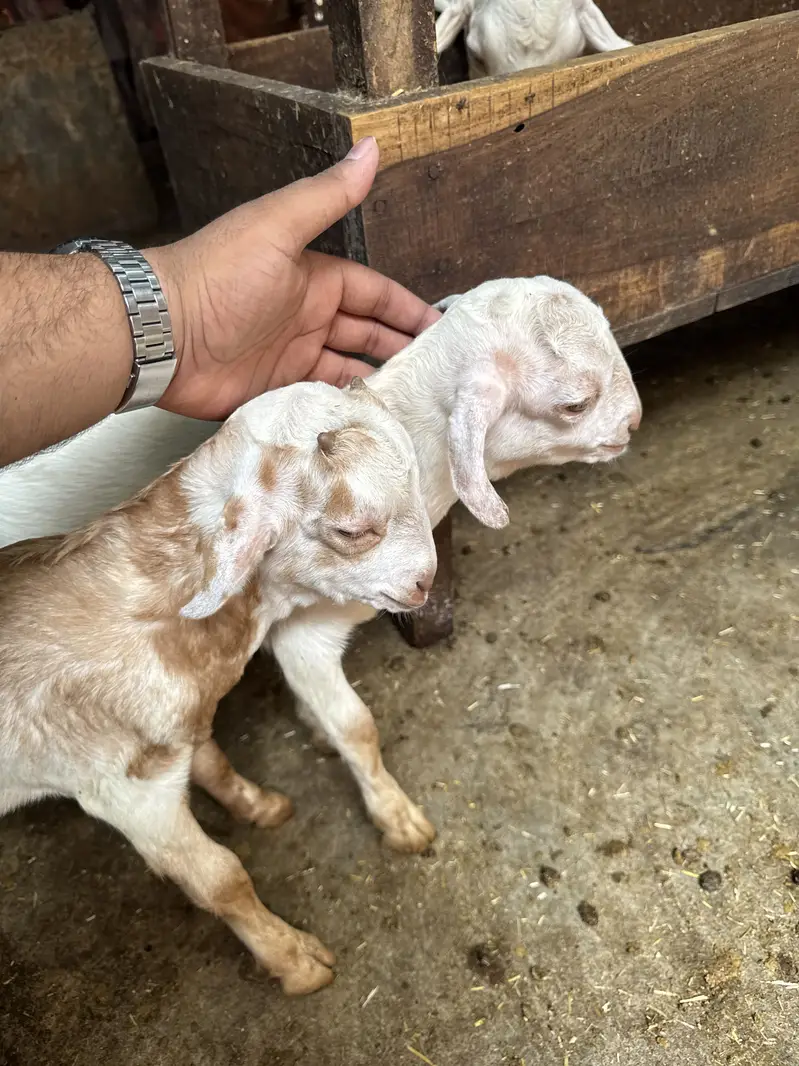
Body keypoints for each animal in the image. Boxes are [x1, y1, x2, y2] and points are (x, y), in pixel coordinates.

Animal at [0, 276, 641, 860]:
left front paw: (313, 723)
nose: (634, 423)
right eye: (575, 403)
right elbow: (356, 724)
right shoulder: (302, 631)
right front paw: (395, 815)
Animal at [0, 378, 436, 995]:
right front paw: (297, 962)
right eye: (352, 530)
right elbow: (221, 880)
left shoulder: (178, 725)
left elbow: (214, 761)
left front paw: (257, 805)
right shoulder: (125, 792)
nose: (426, 581)